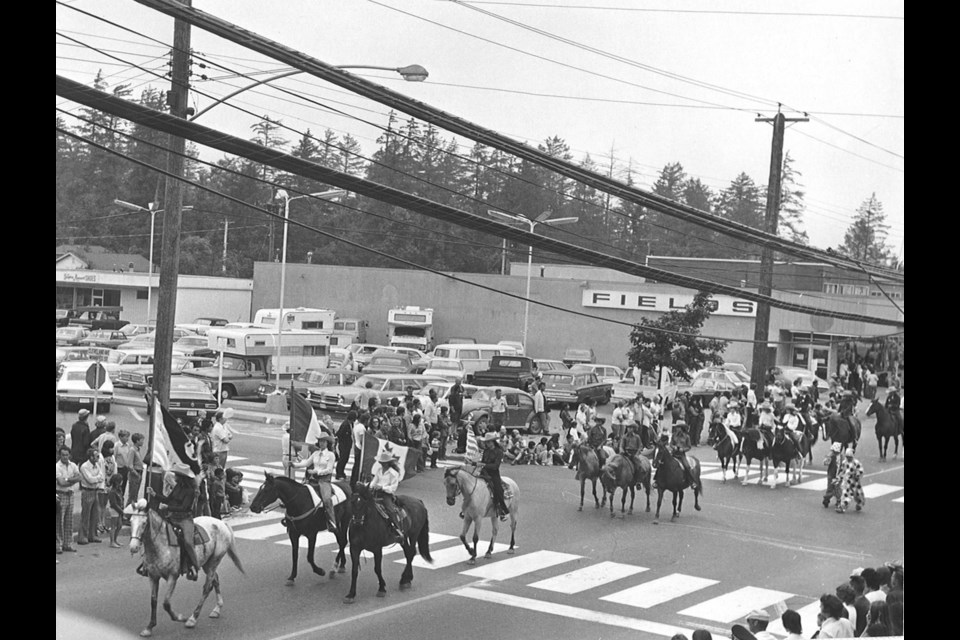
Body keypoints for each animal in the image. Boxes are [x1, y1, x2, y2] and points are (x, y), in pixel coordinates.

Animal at [129, 500, 246, 636]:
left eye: (144, 523)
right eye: (130, 521)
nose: (133, 547)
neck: (161, 544)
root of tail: (221, 522)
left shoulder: (172, 576)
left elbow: (166, 603)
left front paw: (180, 617)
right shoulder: (153, 576)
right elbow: (153, 601)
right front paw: (149, 627)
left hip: (214, 561)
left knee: (207, 588)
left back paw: (192, 618)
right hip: (207, 564)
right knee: (215, 580)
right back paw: (217, 609)